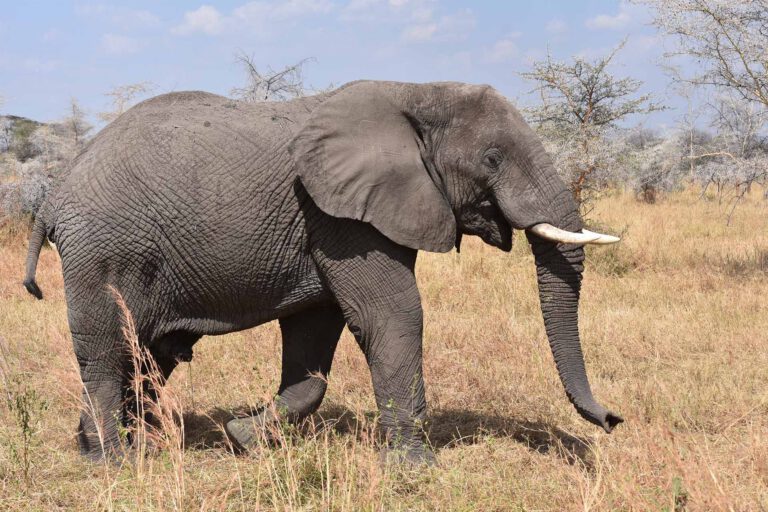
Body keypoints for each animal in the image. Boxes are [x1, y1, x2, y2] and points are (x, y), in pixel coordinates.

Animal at [23, 80, 622, 464]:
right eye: (493, 159)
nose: (613, 421)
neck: (416, 92)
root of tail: (52, 198)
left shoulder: (338, 220)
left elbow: (315, 339)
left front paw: (243, 437)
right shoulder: (340, 217)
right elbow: (393, 317)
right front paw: (416, 468)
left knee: (147, 357)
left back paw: (109, 447)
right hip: (100, 252)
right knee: (108, 352)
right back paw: (116, 462)